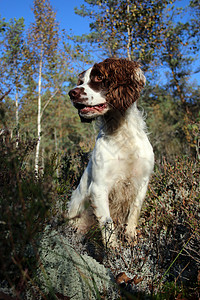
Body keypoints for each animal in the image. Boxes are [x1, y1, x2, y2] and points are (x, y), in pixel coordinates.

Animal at [68, 58, 154, 246]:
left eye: (99, 77)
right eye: (81, 81)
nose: (71, 93)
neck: (122, 134)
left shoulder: (142, 181)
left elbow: (134, 211)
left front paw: (130, 237)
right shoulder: (99, 188)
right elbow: (108, 226)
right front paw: (113, 250)